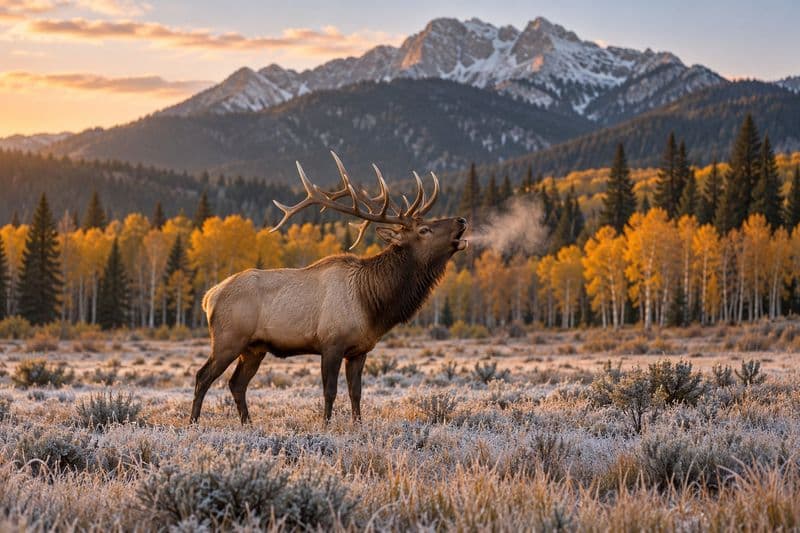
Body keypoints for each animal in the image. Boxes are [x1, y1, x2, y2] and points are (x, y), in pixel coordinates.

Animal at [190, 152, 468, 425]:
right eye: (424, 229)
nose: (461, 219)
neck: (372, 304)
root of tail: (209, 296)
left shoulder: (359, 350)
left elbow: (356, 393)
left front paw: (358, 426)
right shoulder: (331, 343)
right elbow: (330, 392)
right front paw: (325, 426)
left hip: (254, 348)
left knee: (236, 384)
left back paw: (248, 424)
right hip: (228, 339)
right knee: (202, 376)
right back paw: (194, 424)